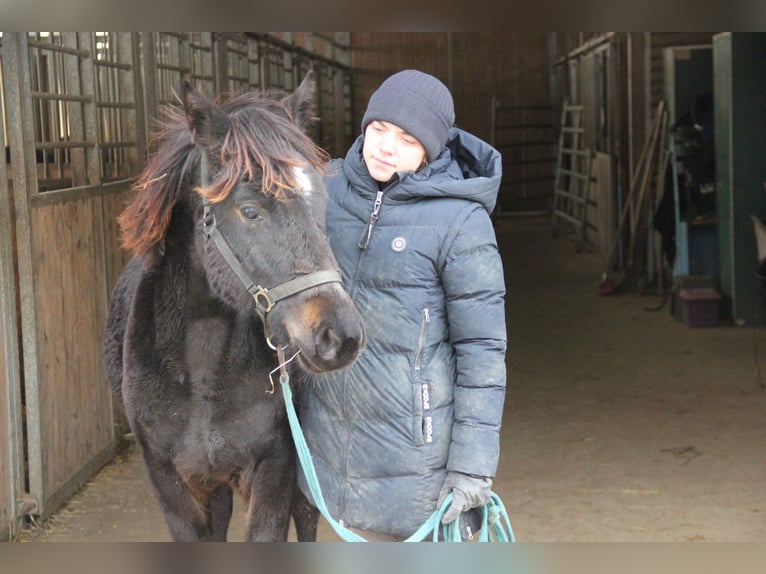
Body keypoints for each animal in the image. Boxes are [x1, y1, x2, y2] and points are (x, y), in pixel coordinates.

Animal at [105, 74, 366, 544]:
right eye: (249, 211)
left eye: (323, 205)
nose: (340, 336)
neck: (202, 371)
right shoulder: (170, 482)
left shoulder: (276, 469)